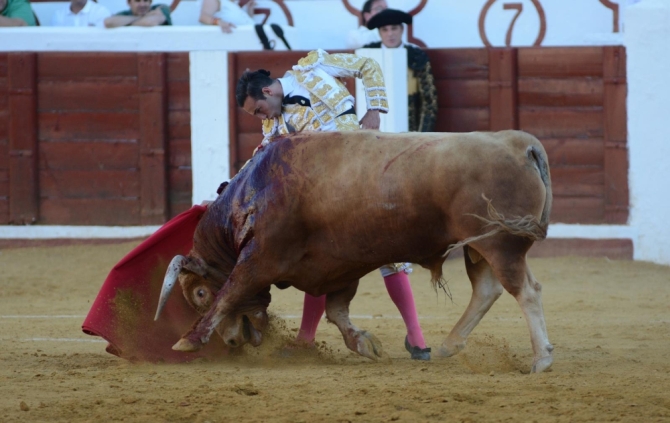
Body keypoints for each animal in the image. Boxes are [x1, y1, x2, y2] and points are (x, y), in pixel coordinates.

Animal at [156, 130, 556, 374]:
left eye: (199, 293)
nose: (233, 341)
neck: (254, 193)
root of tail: (520, 143)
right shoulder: (339, 267)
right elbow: (336, 311)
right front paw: (365, 344)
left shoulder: (259, 260)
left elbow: (230, 292)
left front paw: (187, 340)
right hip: (481, 246)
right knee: (490, 289)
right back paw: (448, 345)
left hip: (499, 244)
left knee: (525, 291)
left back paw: (540, 360)